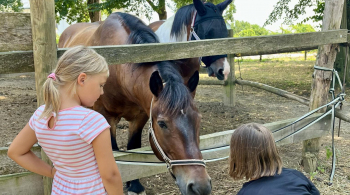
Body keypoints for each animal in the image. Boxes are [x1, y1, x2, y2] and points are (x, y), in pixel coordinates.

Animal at [58, 12, 211, 195]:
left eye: (199, 119)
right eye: (162, 123)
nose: (200, 186)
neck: (118, 69)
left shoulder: (141, 116)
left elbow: (133, 148)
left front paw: (135, 185)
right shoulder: (107, 116)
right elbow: (114, 151)